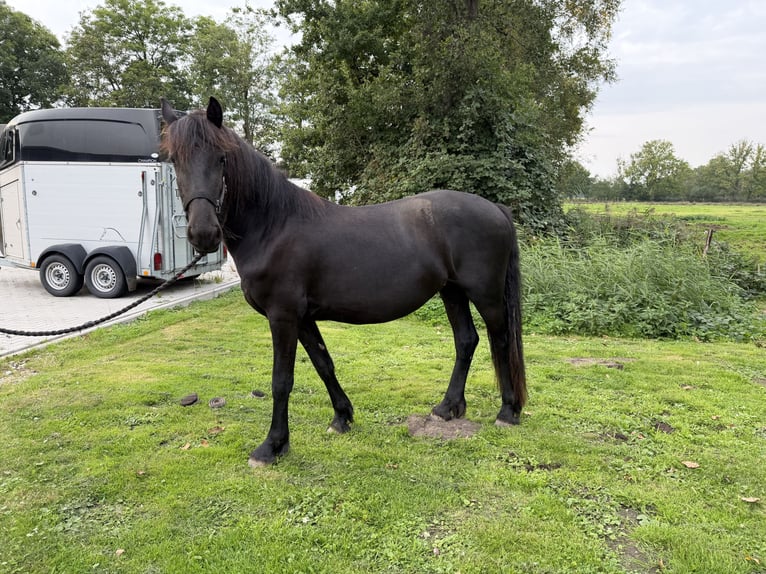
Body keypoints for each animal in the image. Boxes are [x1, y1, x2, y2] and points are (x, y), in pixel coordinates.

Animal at [160, 97, 526, 467]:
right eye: (175, 160)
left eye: (221, 158)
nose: (203, 234)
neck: (273, 226)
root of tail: (496, 209)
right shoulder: (303, 318)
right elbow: (324, 364)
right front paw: (342, 417)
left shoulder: (283, 316)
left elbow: (282, 380)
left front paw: (272, 446)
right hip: (452, 292)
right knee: (466, 341)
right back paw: (448, 407)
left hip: (486, 295)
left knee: (500, 341)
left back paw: (508, 412)